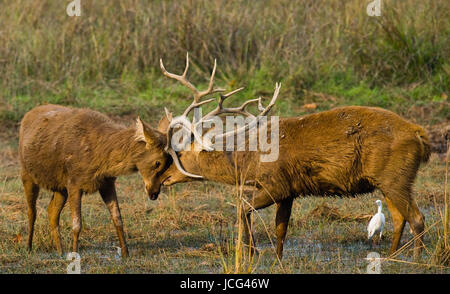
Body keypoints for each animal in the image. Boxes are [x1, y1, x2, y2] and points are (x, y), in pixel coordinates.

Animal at [18, 104, 200, 256]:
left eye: (170, 162)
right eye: (158, 162)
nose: (154, 193)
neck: (100, 158)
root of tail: (27, 115)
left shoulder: (106, 182)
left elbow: (118, 218)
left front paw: (126, 254)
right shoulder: (74, 181)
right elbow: (77, 224)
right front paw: (75, 254)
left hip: (59, 186)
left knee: (51, 211)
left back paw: (60, 251)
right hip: (27, 173)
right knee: (32, 211)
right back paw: (28, 248)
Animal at [158, 55, 432, 260]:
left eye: (179, 153)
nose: (163, 177)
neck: (249, 161)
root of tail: (420, 135)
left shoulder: (276, 184)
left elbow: (243, 206)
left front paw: (251, 251)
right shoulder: (289, 190)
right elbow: (281, 229)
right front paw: (277, 258)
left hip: (396, 177)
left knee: (417, 218)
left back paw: (415, 259)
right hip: (389, 181)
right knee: (399, 218)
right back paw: (392, 256)